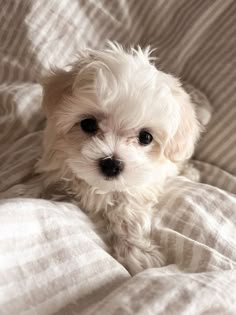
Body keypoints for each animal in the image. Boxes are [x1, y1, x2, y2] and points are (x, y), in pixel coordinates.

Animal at [36, 42, 205, 276]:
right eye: (88, 124)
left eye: (146, 137)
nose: (111, 164)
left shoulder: (140, 186)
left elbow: (128, 211)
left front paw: (138, 252)